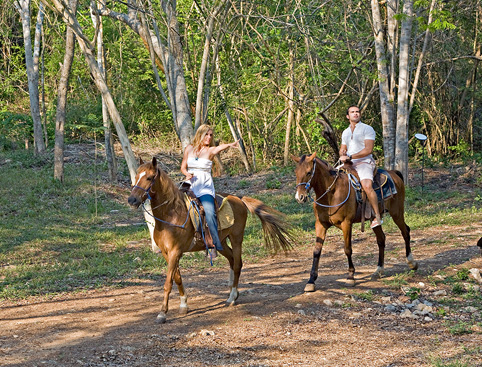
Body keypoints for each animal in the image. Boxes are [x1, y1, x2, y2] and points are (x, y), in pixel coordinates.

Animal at [128, 157, 292, 324]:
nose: (132, 200)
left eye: (149, 178)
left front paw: (162, 313)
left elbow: (168, 282)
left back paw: (232, 297)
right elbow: (177, 277)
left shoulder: (175, 252)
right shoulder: (167, 253)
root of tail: (238, 198)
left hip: (236, 238)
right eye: (136, 177)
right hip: (220, 242)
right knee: (232, 260)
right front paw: (183, 305)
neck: (171, 215)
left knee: (237, 264)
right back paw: (233, 294)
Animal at [292, 152, 416, 290]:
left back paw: (411, 262)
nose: (300, 197)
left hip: (397, 213)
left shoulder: (346, 224)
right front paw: (311, 281)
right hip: (374, 219)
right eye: (296, 172)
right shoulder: (320, 224)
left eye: (309, 172)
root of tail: (394, 173)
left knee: (405, 231)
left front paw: (350, 276)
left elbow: (347, 249)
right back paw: (379, 270)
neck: (332, 194)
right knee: (381, 239)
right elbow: (316, 251)